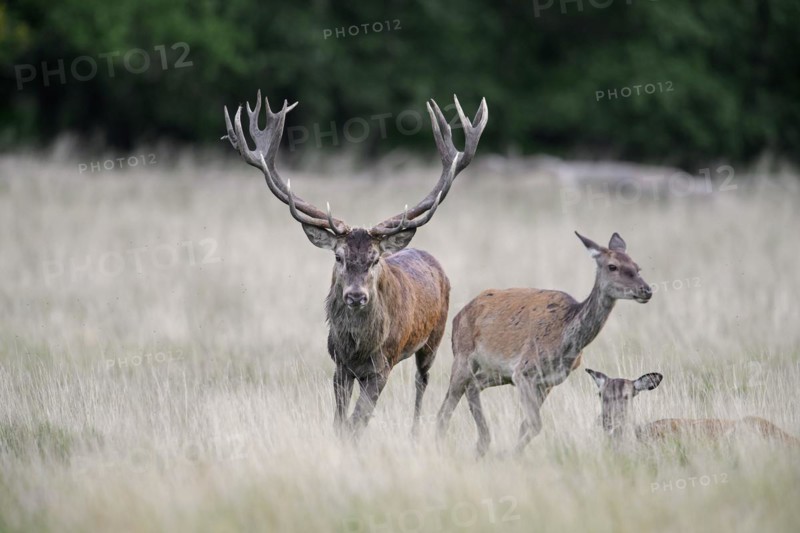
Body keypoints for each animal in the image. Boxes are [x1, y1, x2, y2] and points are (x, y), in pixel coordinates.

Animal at [222, 90, 488, 440]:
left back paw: (416, 431)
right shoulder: (339, 365)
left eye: (375, 260)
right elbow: (340, 421)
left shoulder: (382, 366)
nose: (356, 296)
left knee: (422, 382)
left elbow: (356, 421)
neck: (358, 348)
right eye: (339, 256)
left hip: (435, 337)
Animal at [436, 232, 653, 457]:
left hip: (497, 372)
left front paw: (513, 453)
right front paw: (509, 455)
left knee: (472, 386)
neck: (566, 340)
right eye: (613, 266)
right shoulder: (523, 371)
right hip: (463, 356)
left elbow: (526, 425)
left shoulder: (548, 381)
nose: (646, 290)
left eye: (637, 267)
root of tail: (458, 316)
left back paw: (482, 444)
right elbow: (535, 424)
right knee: (445, 408)